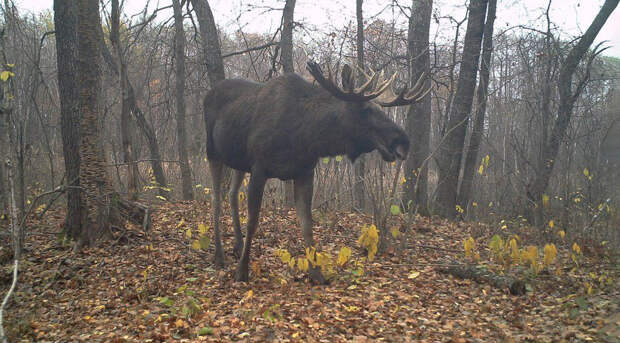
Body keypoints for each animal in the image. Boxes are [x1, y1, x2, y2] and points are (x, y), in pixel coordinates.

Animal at [203, 62, 426, 284]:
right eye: (365, 109)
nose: (403, 141)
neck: (307, 137)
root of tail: (209, 93)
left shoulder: (305, 172)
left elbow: (307, 224)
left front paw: (316, 273)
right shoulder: (259, 168)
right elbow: (252, 221)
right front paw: (242, 271)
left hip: (238, 162)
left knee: (232, 195)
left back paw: (237, 246)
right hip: (213, 151)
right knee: (215, 199)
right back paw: (219, 255)